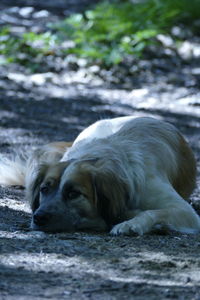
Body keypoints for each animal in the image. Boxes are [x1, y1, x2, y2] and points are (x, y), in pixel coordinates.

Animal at [0, 116, 200, 236]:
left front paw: (130, 224)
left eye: (73, 194)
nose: (39, 217)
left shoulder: (186, 212)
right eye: (44, 189)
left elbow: (152, 212)